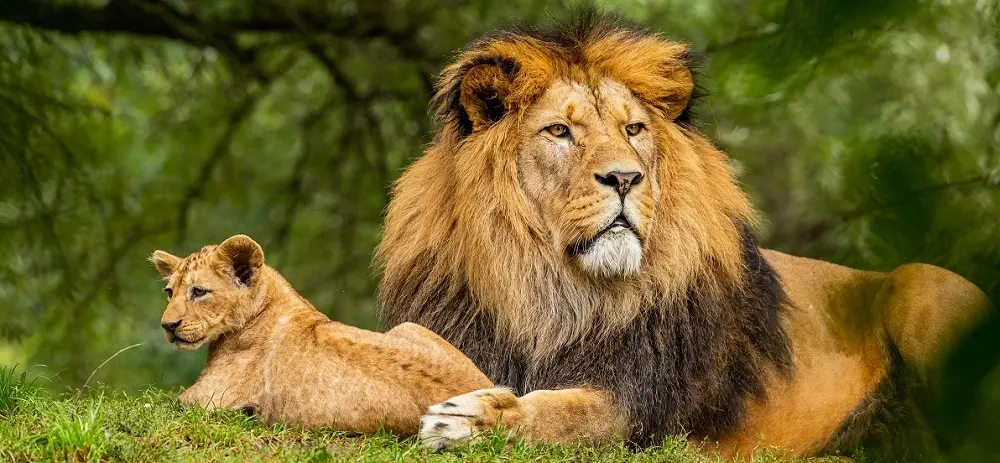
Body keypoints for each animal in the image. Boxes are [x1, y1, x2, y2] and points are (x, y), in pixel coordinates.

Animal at [150, 234, 492, 434]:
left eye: (199, 292)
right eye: (169, 292)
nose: (167, 325)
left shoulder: (206, 399)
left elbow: (161, 404)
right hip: (407, 326)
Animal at [375, 12, 995, 460]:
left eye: (633, 129)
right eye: (560, 131)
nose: (625, 178)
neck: (552, 290)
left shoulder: (640, 404)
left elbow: (562, 412)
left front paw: (471, 420)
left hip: (920, 285)